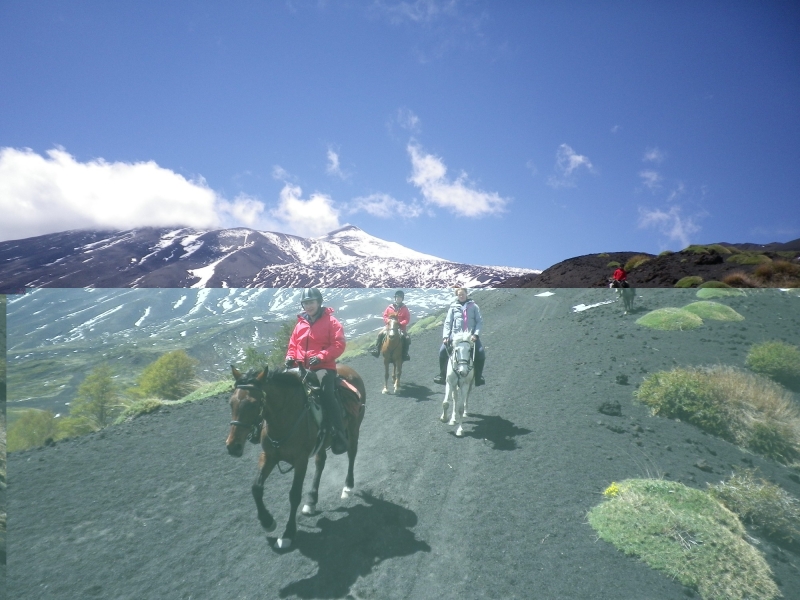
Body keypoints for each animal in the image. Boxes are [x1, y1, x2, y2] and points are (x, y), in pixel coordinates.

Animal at [227, 360, 368, 548]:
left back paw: (347, 486)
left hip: (353, 429)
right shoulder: (268, 455)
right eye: (231, 403)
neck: (284, 418)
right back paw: (311, 501)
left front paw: (288, 533)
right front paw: (267, 521)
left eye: (252, 404)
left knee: (352, 454)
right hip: (322, 443)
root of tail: (351, 371)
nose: (232, 447)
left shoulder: (301, 461)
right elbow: (256, 488)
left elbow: (294, 495)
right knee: (321, 462)